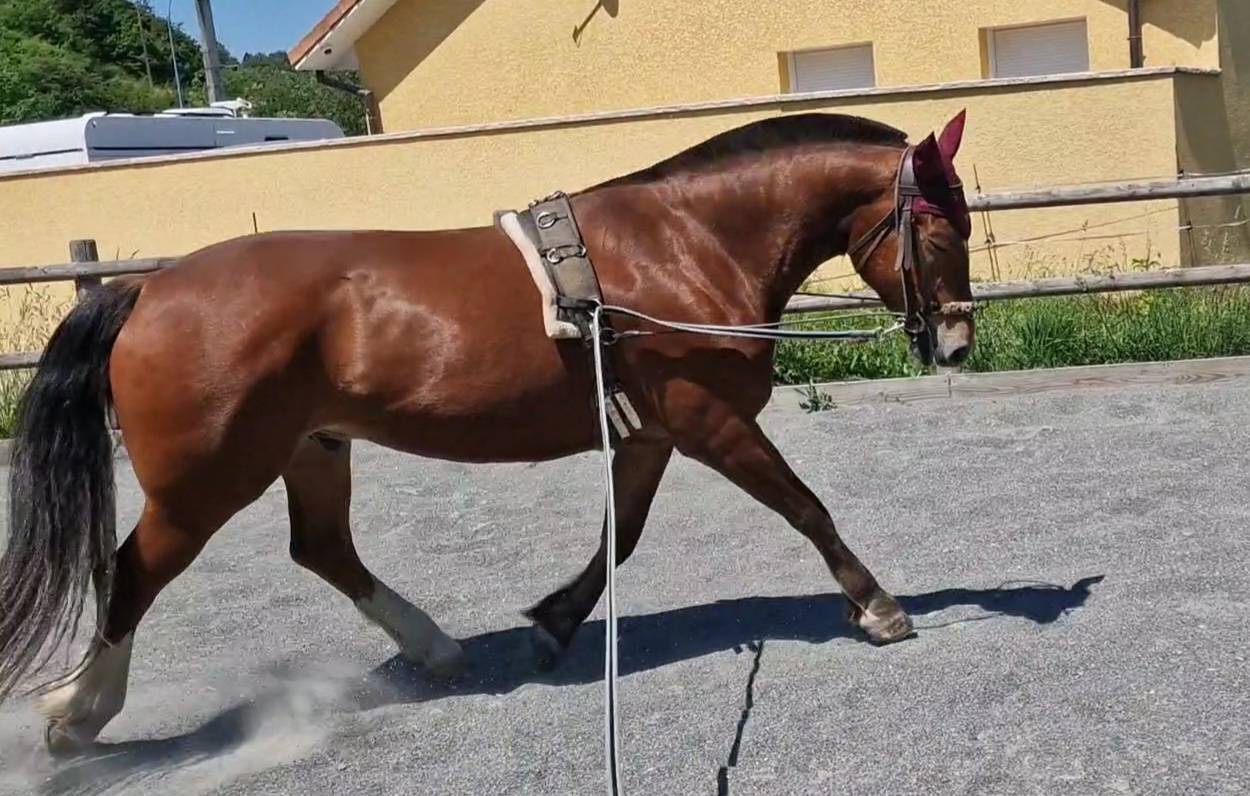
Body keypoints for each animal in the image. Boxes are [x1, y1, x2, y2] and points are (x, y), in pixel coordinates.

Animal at [0, 110, 974, 754]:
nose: (957, 341)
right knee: (134, 572)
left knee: (323, 550)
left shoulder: (649, 434)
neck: (687, 246)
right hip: (205, 481)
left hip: (312, 449)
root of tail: (148, 291)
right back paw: (79, 713)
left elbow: (620, 538)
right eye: (937, 229)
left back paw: (435, 649)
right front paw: (879, 607)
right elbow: (804, 508)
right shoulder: (710, 420)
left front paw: (555, 622)